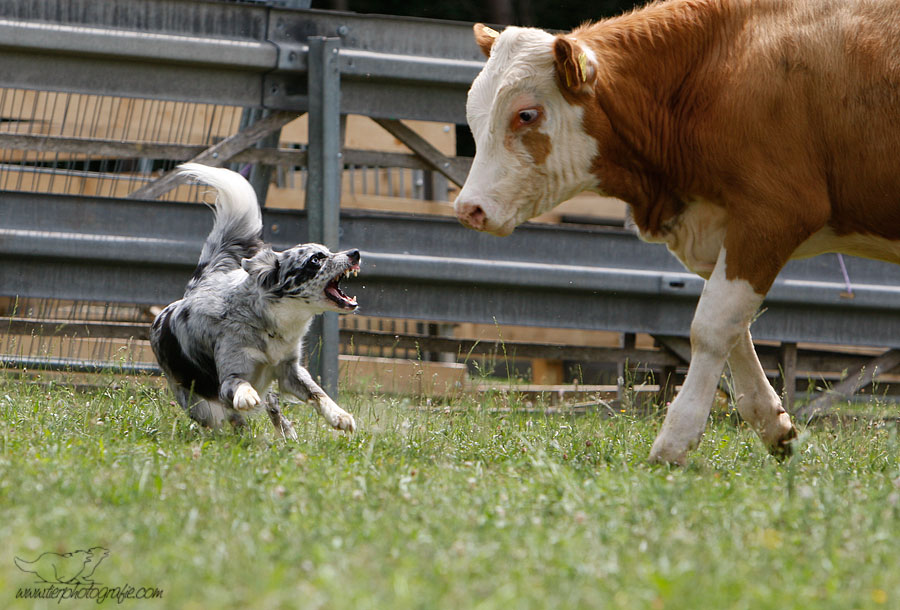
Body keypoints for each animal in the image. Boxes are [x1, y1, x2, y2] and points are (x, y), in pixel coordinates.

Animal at [149, 163, 360, 436]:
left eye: (329, 251)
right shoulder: (229, 378)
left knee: (272, 408)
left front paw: (339, 415)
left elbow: (317, 392)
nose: (355, 253)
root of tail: (196, 287)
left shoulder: (290, 370)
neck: (268, 323)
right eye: (316, 259)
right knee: (227, 418)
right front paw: (246, 396)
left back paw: (286, 434)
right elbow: (239, 387)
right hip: (197, 404)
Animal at [454, 0, 900, 464]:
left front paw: (674, 442)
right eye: (473, 114)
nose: (469, 209)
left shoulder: (774, 214)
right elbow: (735, 329)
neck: (717, 67)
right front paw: (774, 425)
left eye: (526, 114)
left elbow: (712, 327)